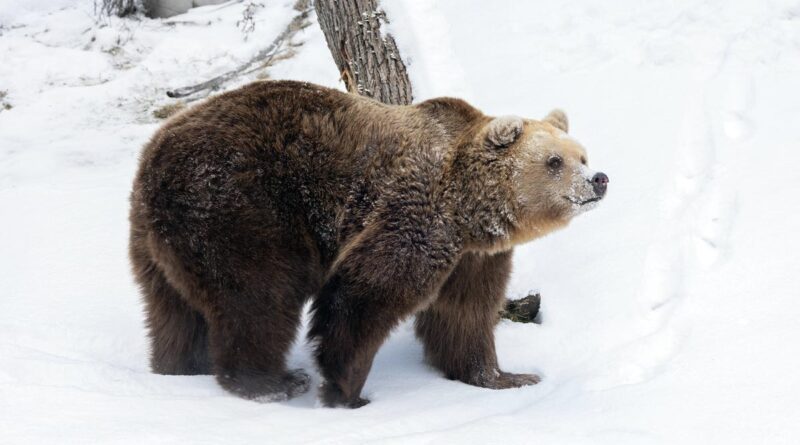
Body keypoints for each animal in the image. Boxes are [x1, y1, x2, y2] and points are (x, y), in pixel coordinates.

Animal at [130, 79, 608, 406]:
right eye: (554, 161)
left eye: (583, 155)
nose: (598, 179)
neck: (471, 211)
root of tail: (155, 154)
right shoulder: (418, 213)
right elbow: (367, 291)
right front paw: (347, 390)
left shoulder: (473, 257)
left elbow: (465, 315)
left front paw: (506, 376)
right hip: (239, 203)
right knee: (258, 294)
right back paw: (271, 381)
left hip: (155, 239)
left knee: (173, 311)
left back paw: (179, 368)